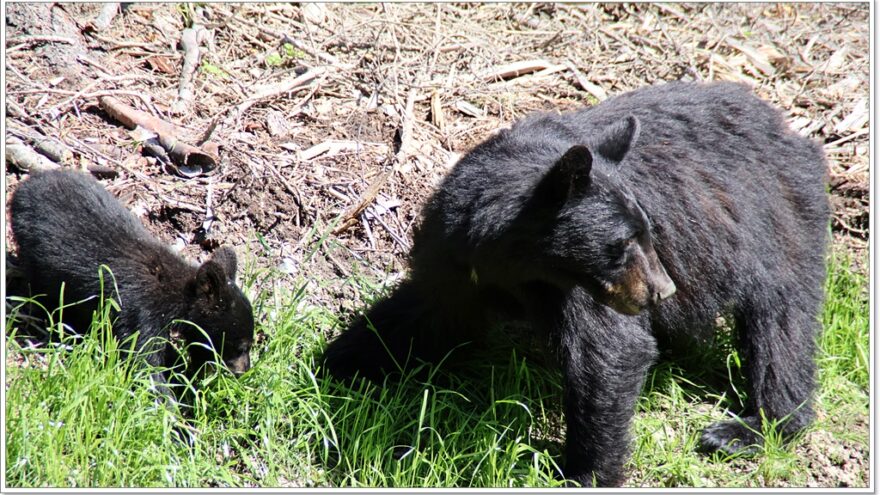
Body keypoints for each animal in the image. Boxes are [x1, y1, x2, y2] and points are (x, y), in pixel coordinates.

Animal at [10, 170, 254, 400]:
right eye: (241, 346)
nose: (244, 371)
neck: (177, 294)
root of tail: (22, 187)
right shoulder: (141, 311)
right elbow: (144, 360)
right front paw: (171, 410)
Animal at [320, 82, 828, 488]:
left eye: (648, 230)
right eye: (623, 242)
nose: (662, 290)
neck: (517, 266)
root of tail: (790, 128)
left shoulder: (581, 290)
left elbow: (609, 353)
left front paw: (585, 473)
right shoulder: (456, 262)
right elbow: (418, 313)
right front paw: (337, 364)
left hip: (780, 217)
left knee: (782, 324)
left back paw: (751, 426)